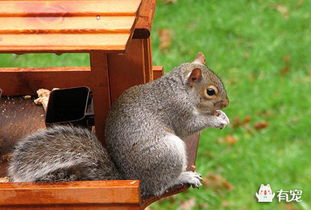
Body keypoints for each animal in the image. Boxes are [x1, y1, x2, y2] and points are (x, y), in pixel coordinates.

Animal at [8, 52, 230, 199]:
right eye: (211, 91)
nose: (227, 103)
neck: (180, 90)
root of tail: (135, 179)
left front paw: (223, 115)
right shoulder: (177, 110)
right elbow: (190, 126)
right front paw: (216, 119)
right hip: (168, 152)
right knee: (160, 186)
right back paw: (184, 176)